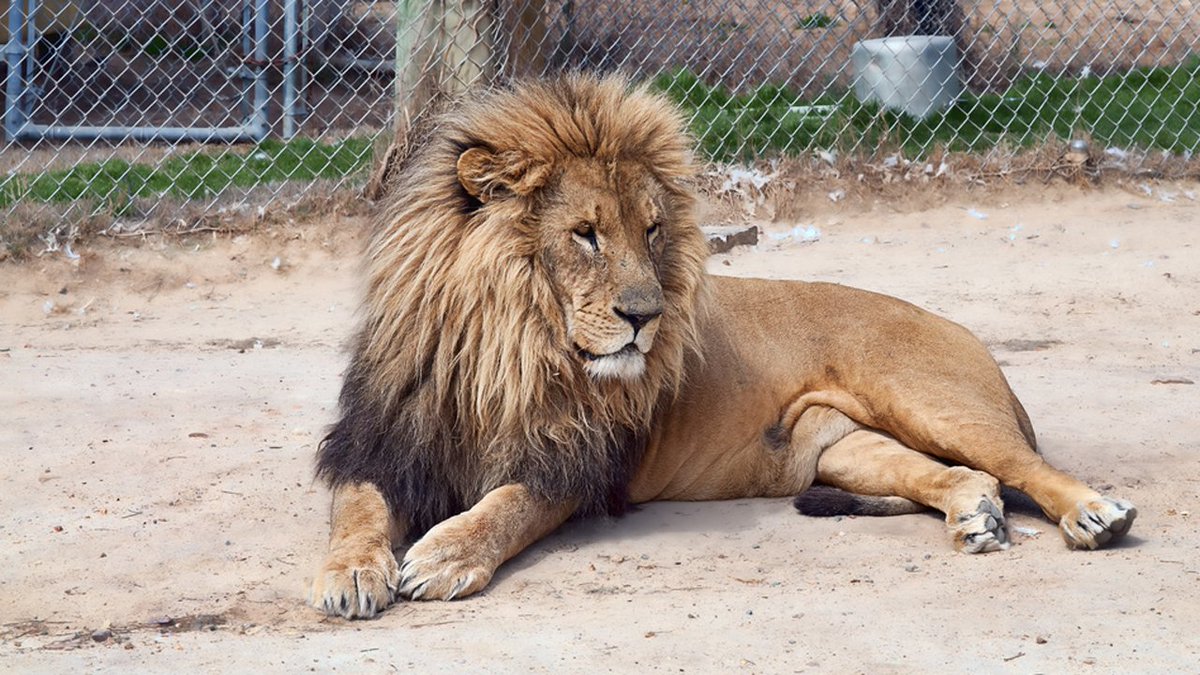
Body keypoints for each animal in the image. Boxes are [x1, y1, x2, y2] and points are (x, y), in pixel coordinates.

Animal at [309, 73, 1137, 619]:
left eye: (650, 230)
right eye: (585, 233)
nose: (644, 315)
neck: (505, 350)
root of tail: (967, 333)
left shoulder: (578, 465)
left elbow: (506, 507)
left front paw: (444, 555)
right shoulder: (382, 443)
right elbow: (357, 509)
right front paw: (350, 574)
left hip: (931, 401)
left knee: (1021, 465)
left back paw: (1097, 515)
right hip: (842, 447)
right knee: (966, 475)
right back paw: (977, 517)